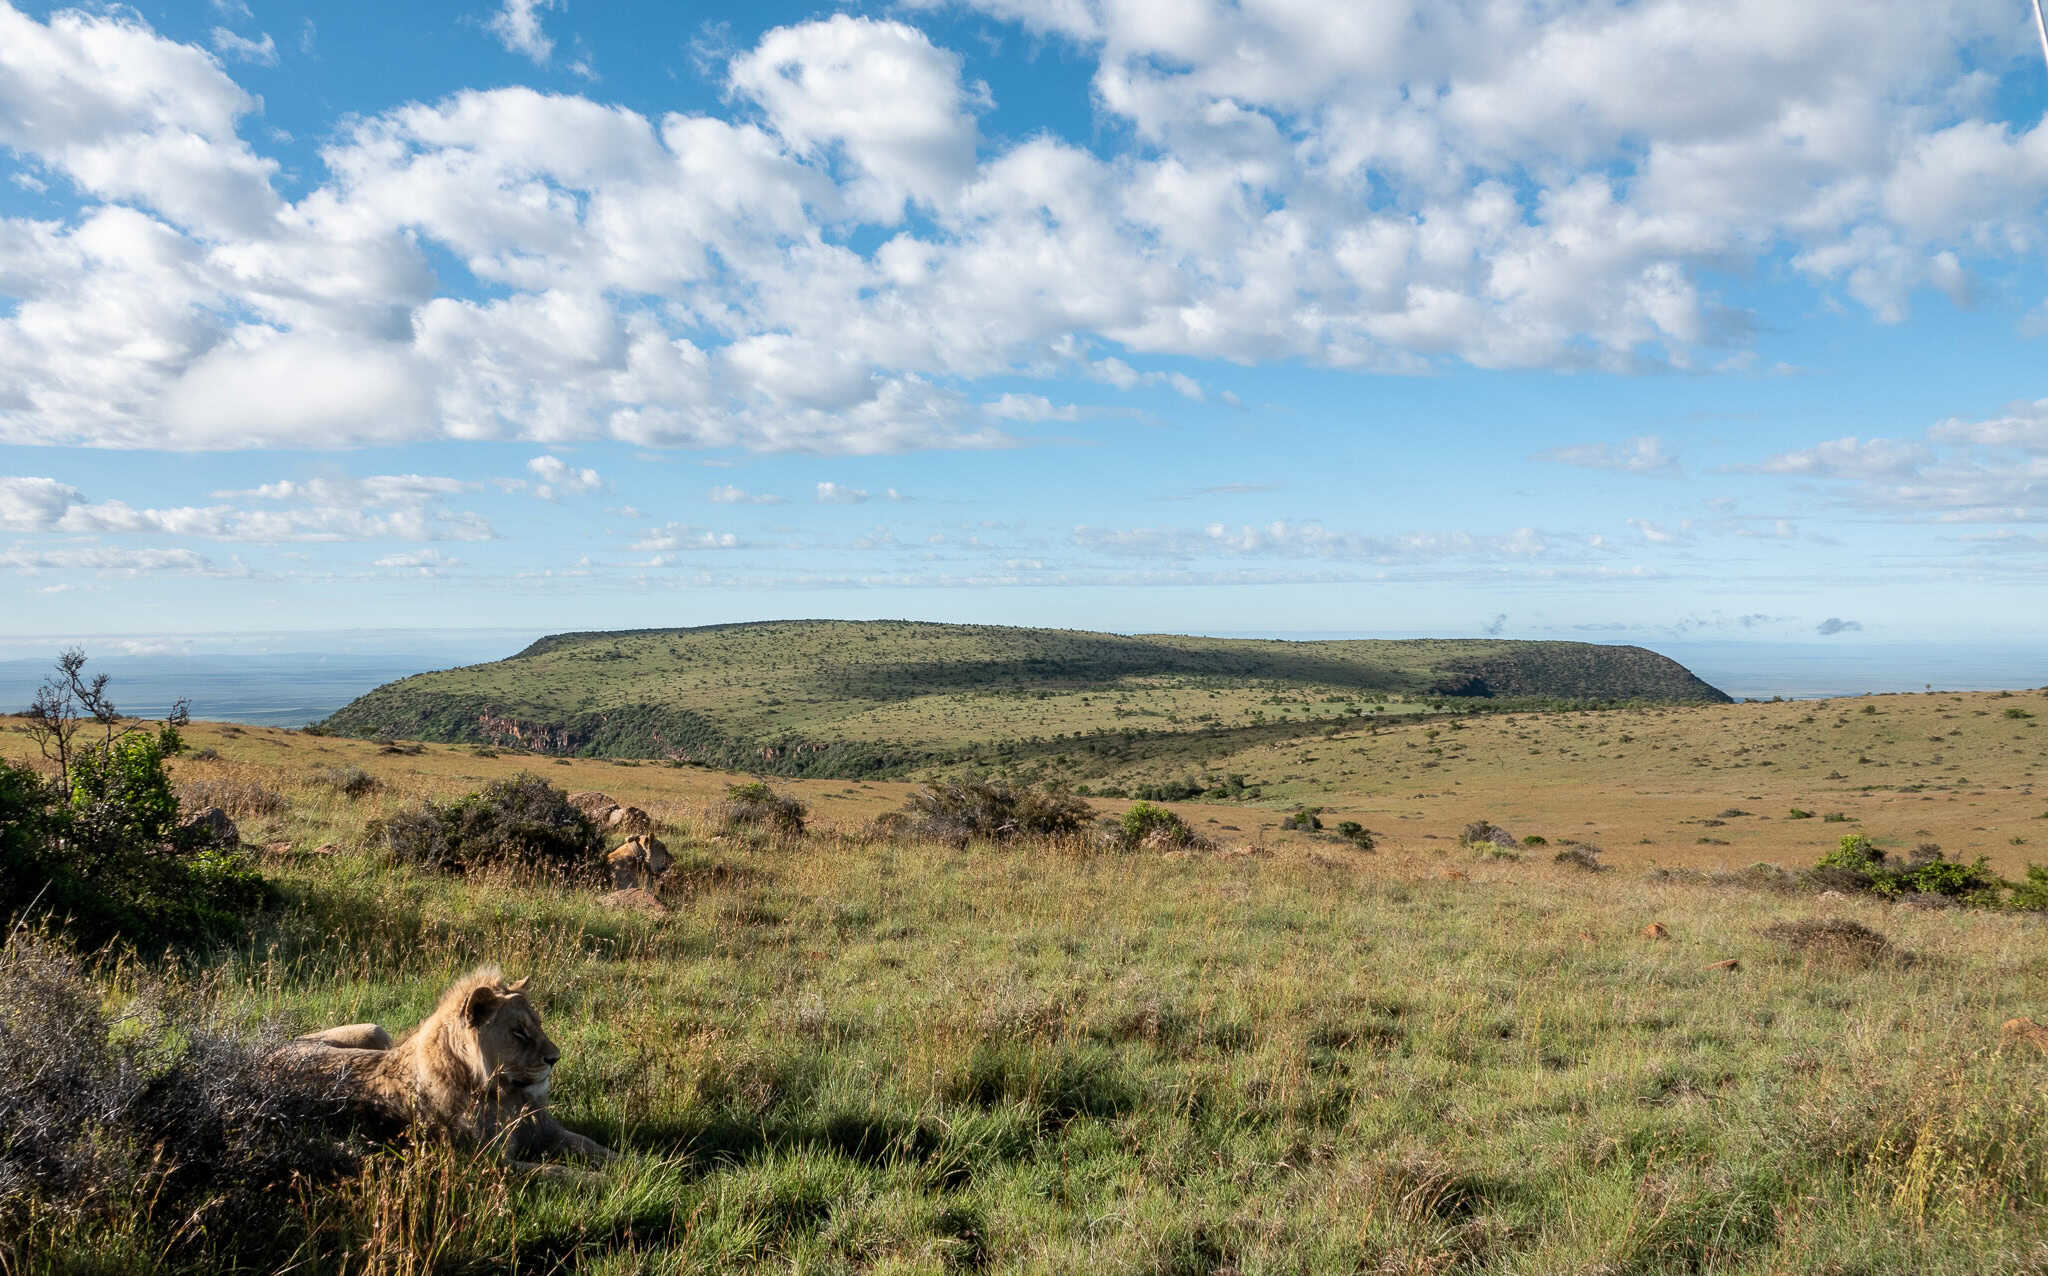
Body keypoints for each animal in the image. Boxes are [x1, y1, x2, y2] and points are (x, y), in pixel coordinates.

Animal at [277, 967, 613, 1168]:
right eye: (518, 1032)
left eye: (539, 1025)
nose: (555, 1058)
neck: (507, 1097)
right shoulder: (495, 1163)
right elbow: (560, 1172)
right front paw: (604, 1181)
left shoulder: (549, 1131)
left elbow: (596, 1146)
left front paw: (625, 1166)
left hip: (374, 1030)